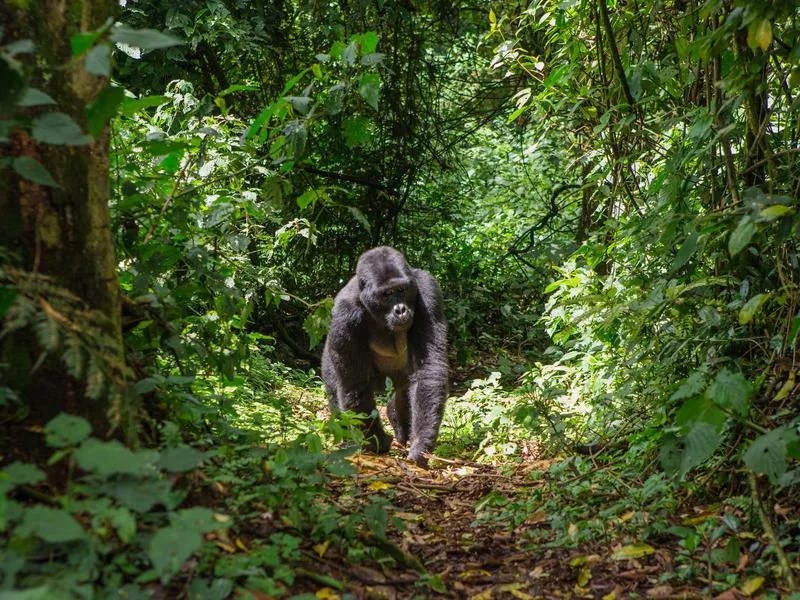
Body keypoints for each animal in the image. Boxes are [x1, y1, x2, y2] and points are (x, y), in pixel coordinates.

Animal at [324, 246, 450, 466]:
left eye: (401, 290)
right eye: (386, 294)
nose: (400, 310)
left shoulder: (428, 290)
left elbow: (428, 368)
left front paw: (421, 443)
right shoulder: (344, 315)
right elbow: (355, 385)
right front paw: (377, 442)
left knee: (404, 389)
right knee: (336, 388)